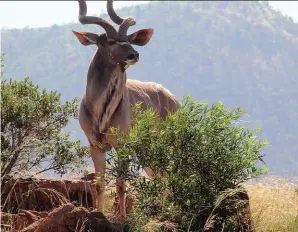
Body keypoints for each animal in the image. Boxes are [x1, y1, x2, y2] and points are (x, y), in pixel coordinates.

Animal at [72, 0, 179, 217]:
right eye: (111, 41)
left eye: (130, 40)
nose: (134, 54)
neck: (100, 112)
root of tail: (173, 99)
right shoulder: (95, 145)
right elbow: (100, 184)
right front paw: (100, 213)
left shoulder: (122, 145)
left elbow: (121, 184)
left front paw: (122, 216)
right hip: (146, 150)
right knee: (159, 175)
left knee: (166, 175)